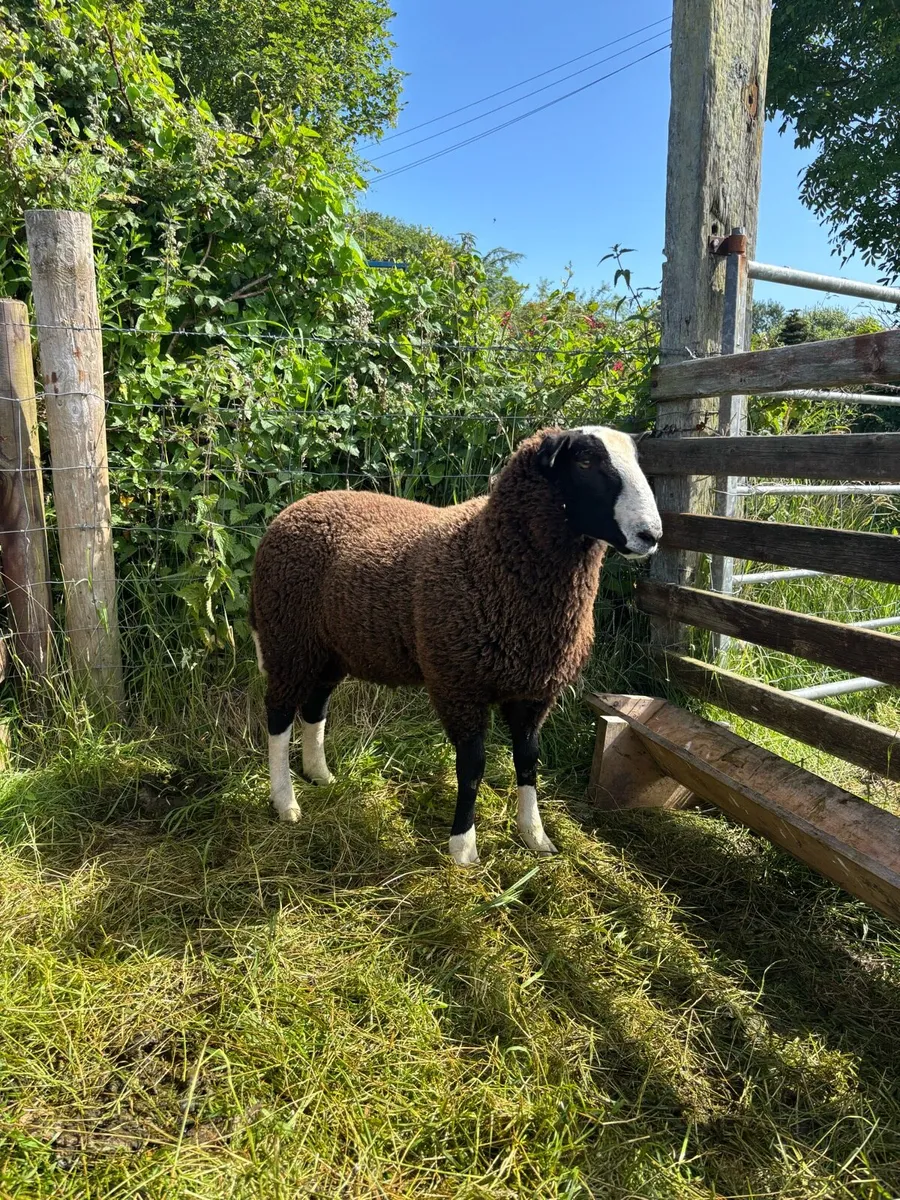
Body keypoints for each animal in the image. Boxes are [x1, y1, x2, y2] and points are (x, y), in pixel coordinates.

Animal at [249, 425, 662, 865]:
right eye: (584, 461)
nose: (651, 536)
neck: (489, 553)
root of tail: (295, 508)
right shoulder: (459, 684)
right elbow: (472, 766)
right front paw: (463, 847)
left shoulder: (534, 691)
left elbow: (528, 760)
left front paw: (535, 835)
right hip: (287, 638)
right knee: (278, 715)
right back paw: (285, 801)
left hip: (330, 649)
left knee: (314, 708)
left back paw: (320, 775)